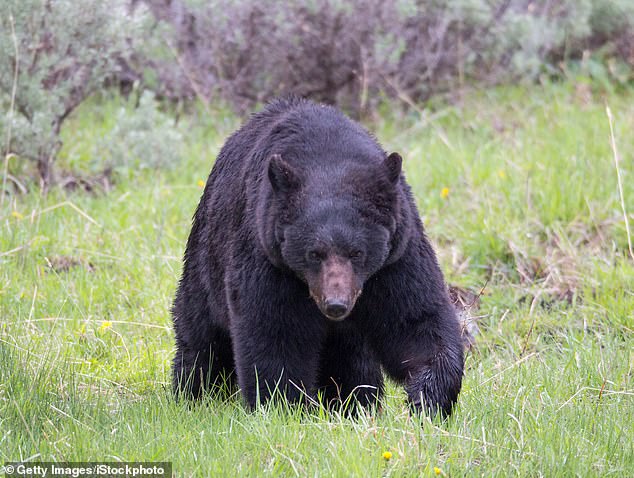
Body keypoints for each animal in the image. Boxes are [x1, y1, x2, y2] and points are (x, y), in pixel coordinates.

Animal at [170, 96, 462, 414]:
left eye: (357, 252)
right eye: (314, 253)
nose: (336, 304)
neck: (328, 158)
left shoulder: (396, 257)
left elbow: (415, 319)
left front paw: (428, 397)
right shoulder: (268, 257)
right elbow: (274, 331)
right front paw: (283, 405)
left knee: (353, 360)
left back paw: (355, 402)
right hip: (206, 259)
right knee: (201, 337)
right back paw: (195, 393)